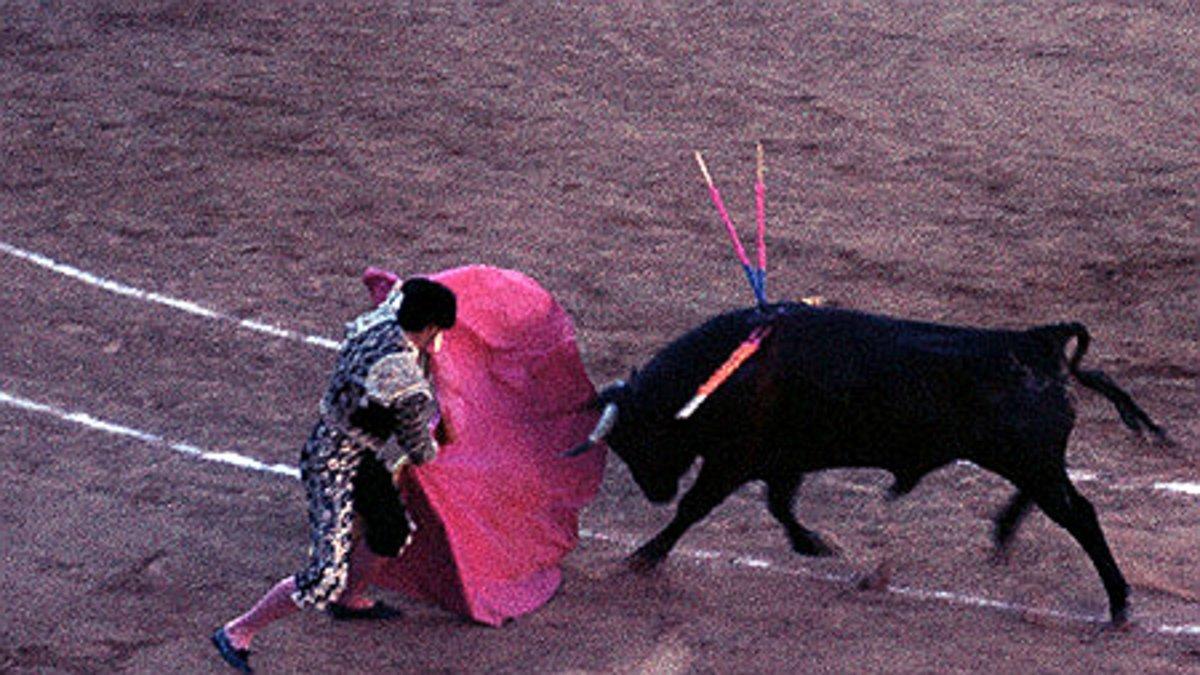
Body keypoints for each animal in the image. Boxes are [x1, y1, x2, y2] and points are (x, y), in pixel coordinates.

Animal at [566, 302, 1166, 624]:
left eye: (637, 437)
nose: (655, 491)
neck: (725, 372)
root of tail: (1039, 342)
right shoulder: (780, 461)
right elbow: (780, 506)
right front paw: (815, 545)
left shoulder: (734, 460)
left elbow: (696, 510)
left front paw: (642, 557)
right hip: (1031, 460)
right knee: (1055, 502)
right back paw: (1003, 535)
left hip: (1029, 458)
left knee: (1080, 514)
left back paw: (1118, 602)